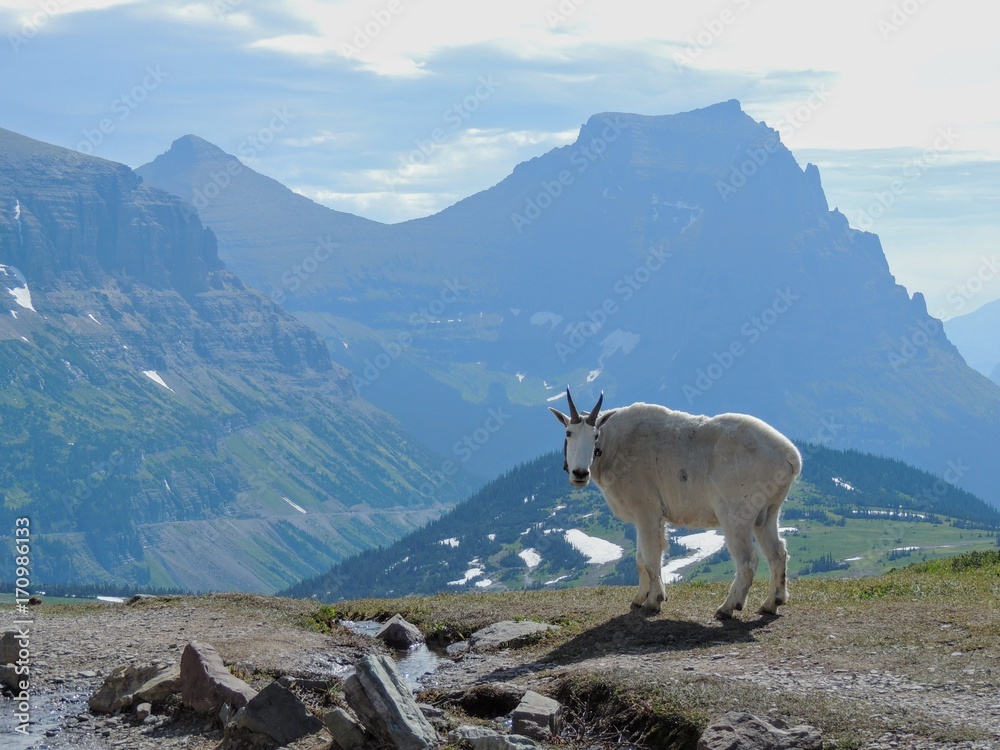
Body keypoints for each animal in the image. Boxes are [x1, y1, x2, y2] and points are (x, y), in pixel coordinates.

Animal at [552, 390, 800, 620]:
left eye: (595, 435)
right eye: (568, 432)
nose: (580, 473)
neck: (614, 446)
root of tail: (790, 456)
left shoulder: (647, 512)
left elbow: (650, 559)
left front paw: (654, 601)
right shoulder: (646, 518)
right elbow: (641, 560)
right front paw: (639, 599)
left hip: (736, 515)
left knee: (748, 560)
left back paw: (727, 608)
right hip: (768, 512)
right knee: (778, 552)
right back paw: (772, 603)